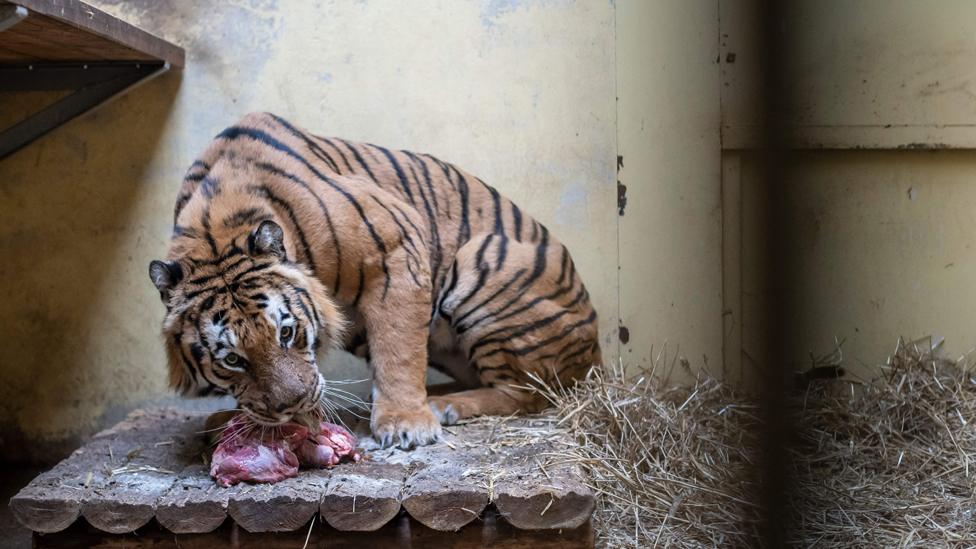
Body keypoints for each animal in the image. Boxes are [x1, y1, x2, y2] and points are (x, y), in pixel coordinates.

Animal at [151, 112, 604, 450]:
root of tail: (596, 354)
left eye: (286, 333)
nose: (292, 405)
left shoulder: (396, 244)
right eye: (232, 360)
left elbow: (398, 349)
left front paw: (406, 424)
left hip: (484, 259)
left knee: (527, 392)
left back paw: (445, 406)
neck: (215, 232)